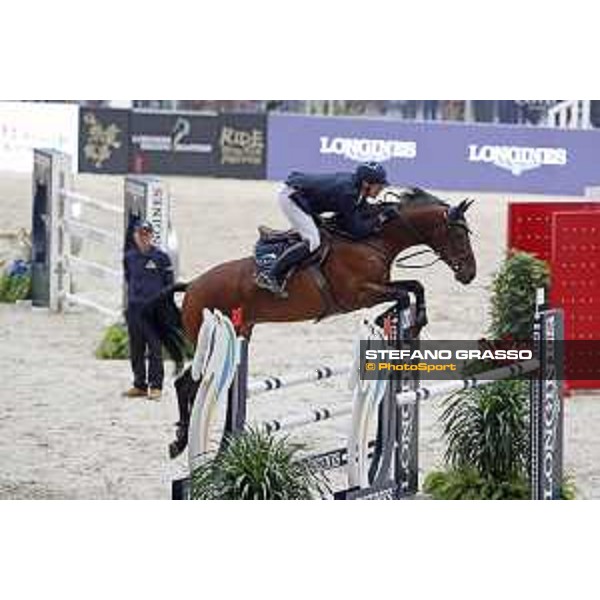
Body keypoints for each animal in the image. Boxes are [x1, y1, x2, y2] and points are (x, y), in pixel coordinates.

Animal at [143, 185, 476, 458]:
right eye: (458, 234)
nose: (469, 274)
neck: (372, 240)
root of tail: (192, 286)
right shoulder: (360, 294)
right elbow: (405, 294)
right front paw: (401, 321)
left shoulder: (380, 286)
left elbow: (414, 286)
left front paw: (409, 321)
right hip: (211, 338)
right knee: (185, 383)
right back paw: (180, 441)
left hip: (239, 333)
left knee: (191, 384)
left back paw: (186, 441)